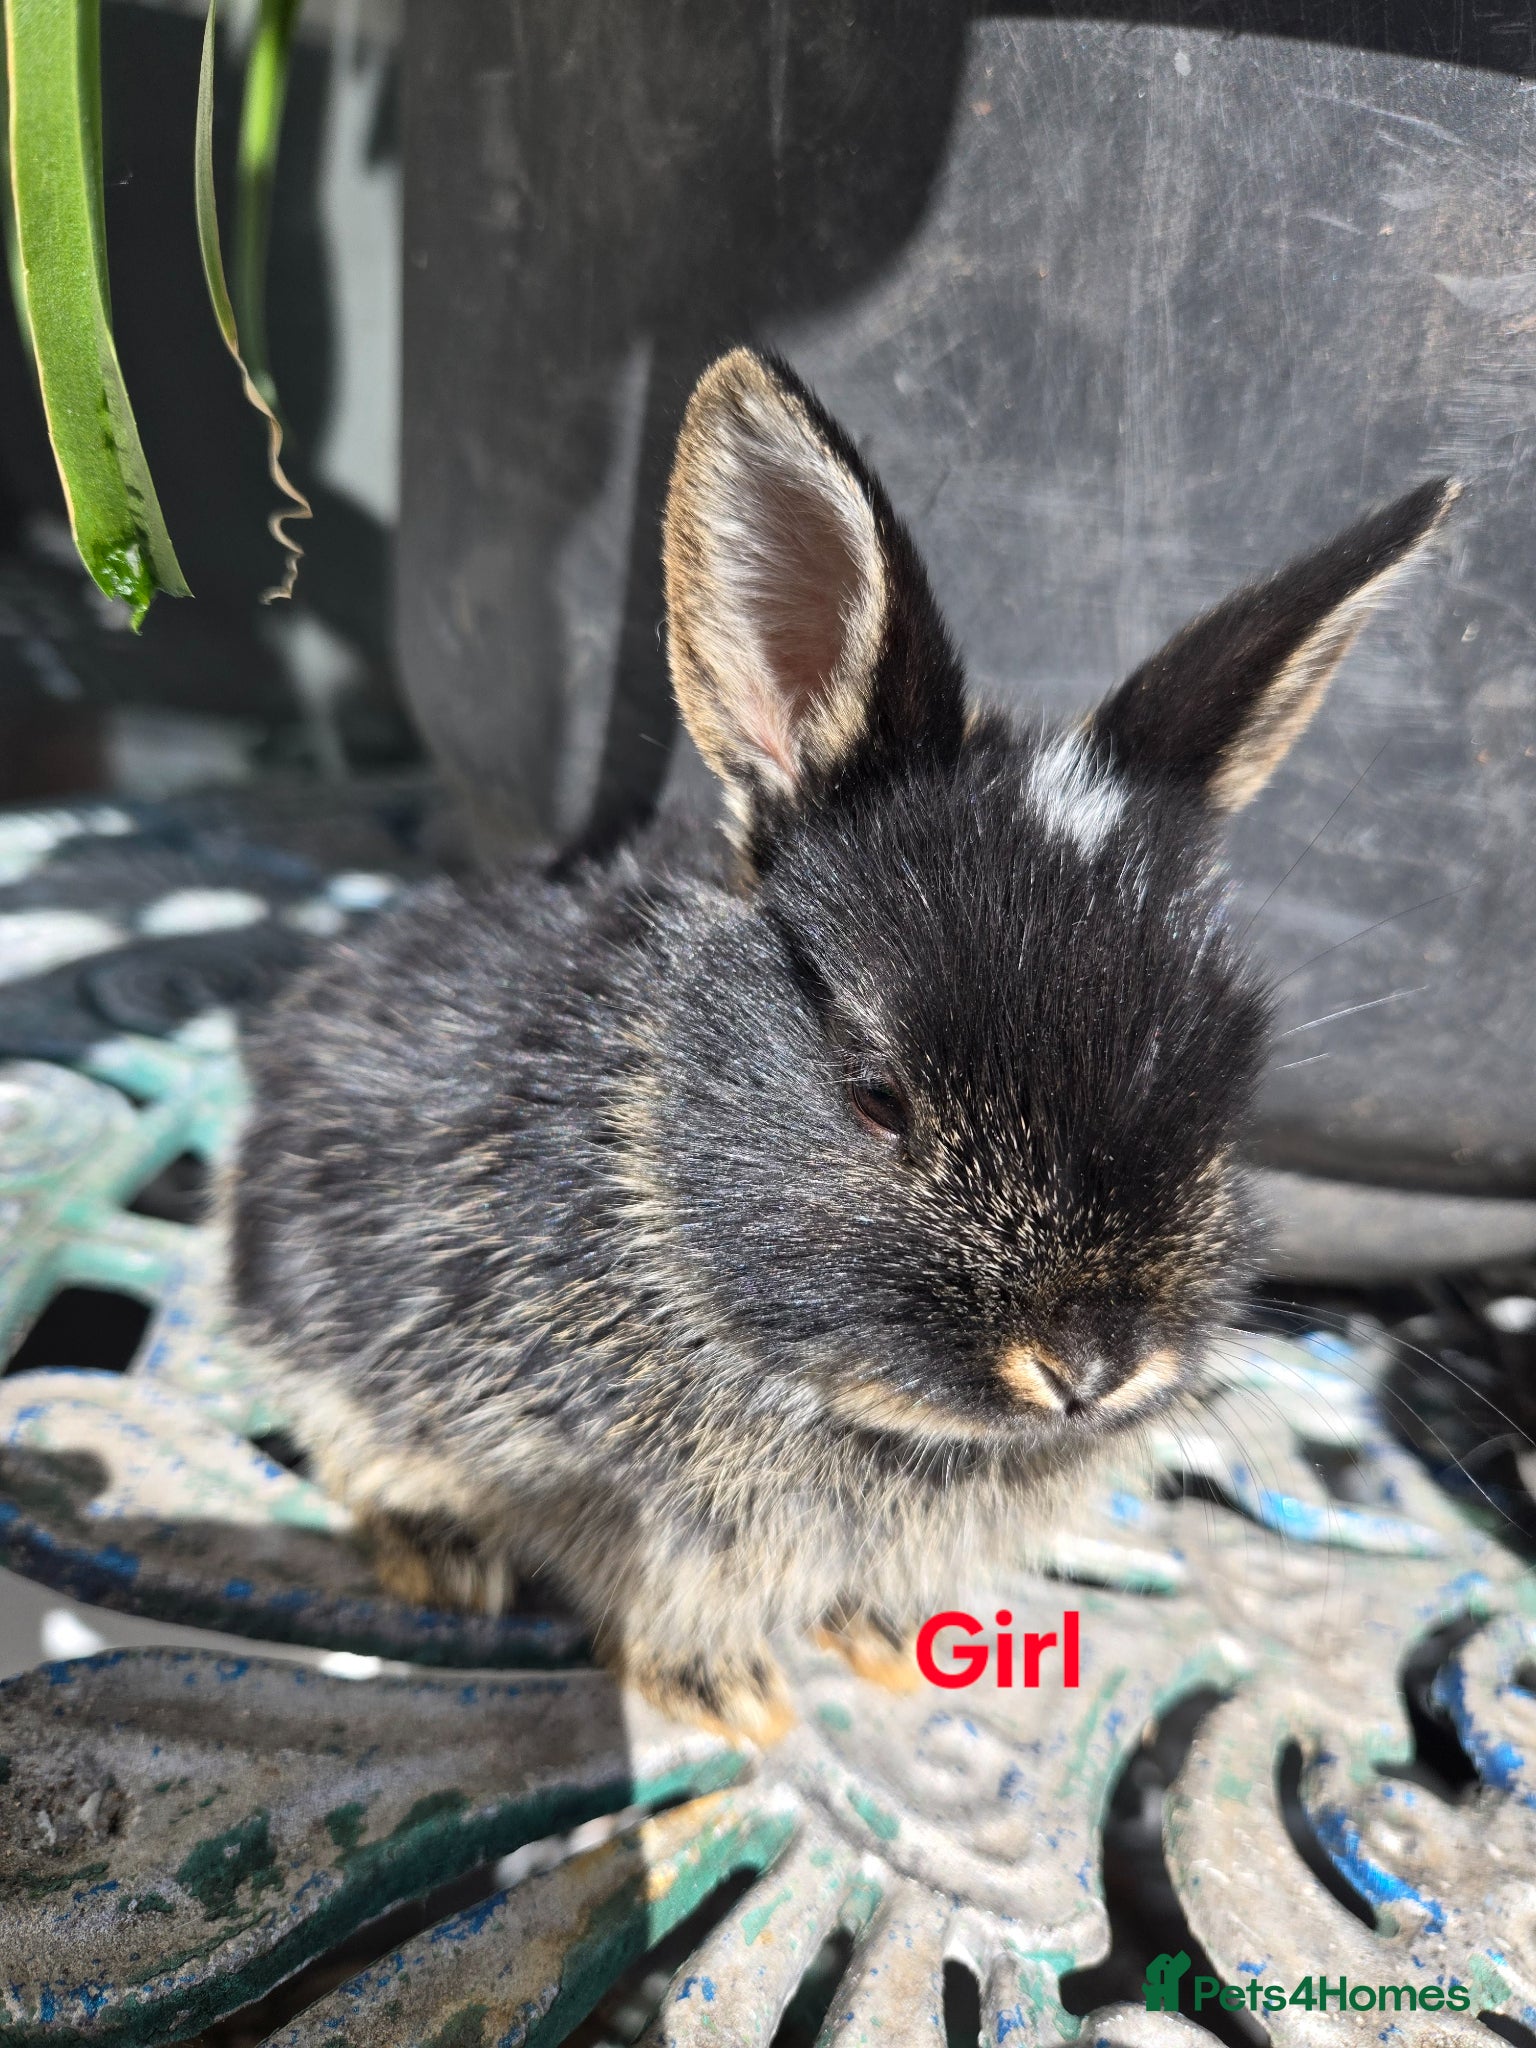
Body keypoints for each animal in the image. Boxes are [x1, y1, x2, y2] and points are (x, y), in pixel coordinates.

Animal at [229, 348, 1456, 1741]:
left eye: (1227, 1091)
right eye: (876, 1095)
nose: (1089, 1367)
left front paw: (880, 1641)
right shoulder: (643, 1510)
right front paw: (728, 1695)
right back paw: (441, 1554)